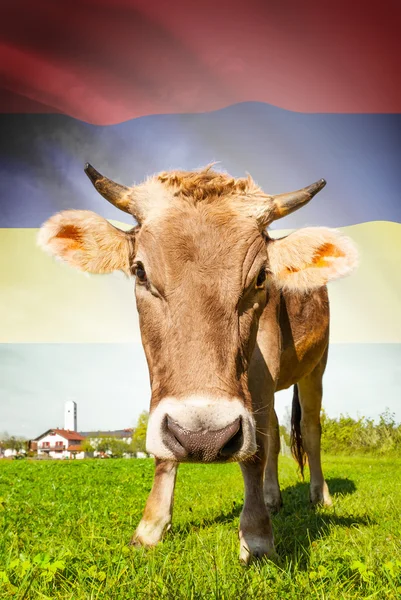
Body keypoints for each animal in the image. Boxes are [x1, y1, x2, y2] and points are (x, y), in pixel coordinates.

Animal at [37, 163, 356, 564]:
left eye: (261, 277)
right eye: (140, 271)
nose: (203, 438)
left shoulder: (262, 365)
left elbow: (255, 451)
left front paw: (257, 536)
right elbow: (166, 448)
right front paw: (150, 528)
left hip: (316, 367)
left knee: (310, 431)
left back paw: (319, 496)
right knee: (272, 429)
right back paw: (272, 498)